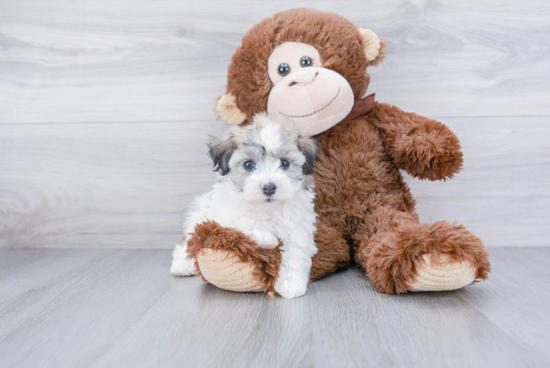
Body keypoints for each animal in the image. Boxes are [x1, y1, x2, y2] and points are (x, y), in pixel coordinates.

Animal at [170, 114, 322, 300]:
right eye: (248, 165)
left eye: (285, 163)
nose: (269, 187)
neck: (266, 209)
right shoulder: (222, 218)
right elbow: (244, 224)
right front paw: (269, 239)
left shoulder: (298, 228)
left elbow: (295, 251)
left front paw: (291, 283)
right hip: (199, 213)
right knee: (188, 242)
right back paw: (182, 265)